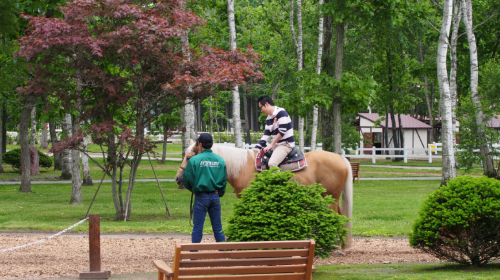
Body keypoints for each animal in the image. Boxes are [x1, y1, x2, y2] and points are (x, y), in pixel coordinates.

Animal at [174, 141, 354, 246]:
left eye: (189, 157)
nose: (178, 178)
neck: (243, 166)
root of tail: (340, 157)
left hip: (331, 198)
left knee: (337, 217)